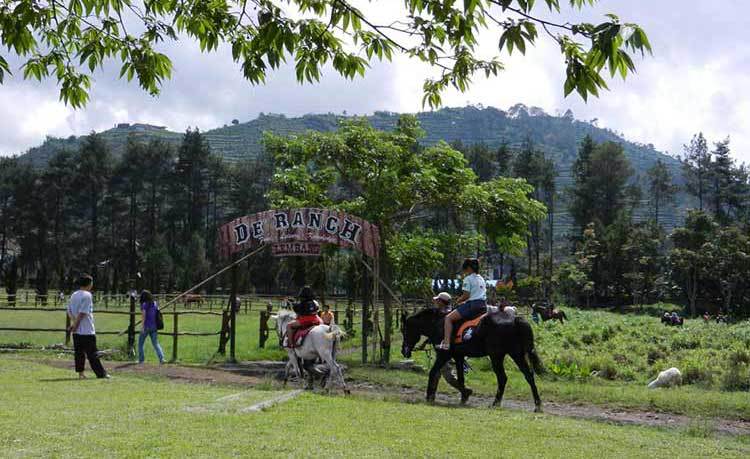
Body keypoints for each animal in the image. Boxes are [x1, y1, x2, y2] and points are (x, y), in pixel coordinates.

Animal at [402, 310, 544, 414]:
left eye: (405, 331)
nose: (404, 351)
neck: (438, 324)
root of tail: (515, 319)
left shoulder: (444, 355)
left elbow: (433, 372)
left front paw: (429, 396)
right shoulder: (458, 357)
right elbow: (460, 378)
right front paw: (464, 396)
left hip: (496, 357)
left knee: (502, 378)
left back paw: (496, 403)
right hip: (516, 355)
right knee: (529, 376)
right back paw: (537, 405)